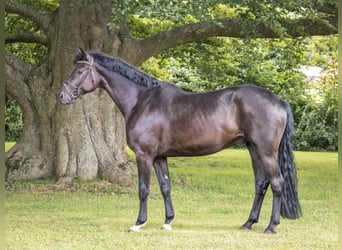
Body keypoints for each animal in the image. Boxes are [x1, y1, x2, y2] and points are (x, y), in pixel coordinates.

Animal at [60, 48, 300, 234]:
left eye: (79, 71)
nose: (62, 96)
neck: (142, 101)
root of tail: (279, 101)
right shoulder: (159, 157)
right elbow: (166, 186)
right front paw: (167, 222)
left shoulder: (144, 155)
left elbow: (143, 189)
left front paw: (138, 223)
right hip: (253, 149)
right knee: (261, 184)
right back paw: (248, 223)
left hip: (266, 151)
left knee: (277, 183)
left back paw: (271, 226)